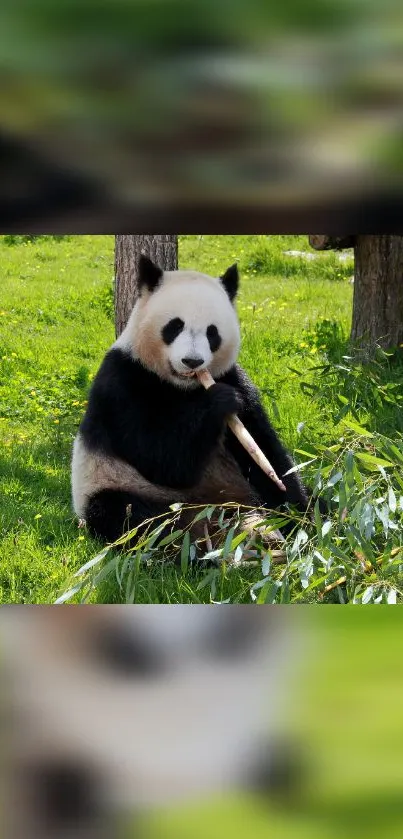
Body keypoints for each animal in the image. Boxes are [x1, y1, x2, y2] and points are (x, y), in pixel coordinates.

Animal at [72, 253, 310, 548]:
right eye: (175, 326)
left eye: (212, 332)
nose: (192, 361)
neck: (184, 386)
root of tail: (216, 511)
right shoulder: (123, 382)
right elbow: (162, 459)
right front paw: (220, 401)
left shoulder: (233, 376)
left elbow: (263, 450)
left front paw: (300, 514)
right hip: (115, 485)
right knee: (128, 516)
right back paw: (189, 545)